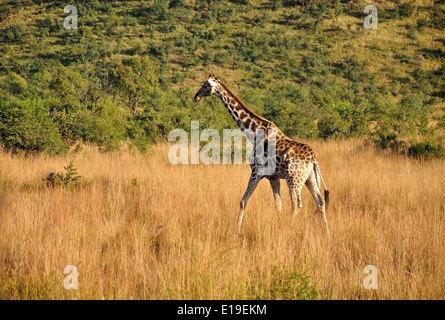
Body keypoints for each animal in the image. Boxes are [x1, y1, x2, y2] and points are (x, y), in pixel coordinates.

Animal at [193, 76, 328, 234]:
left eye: (205, 85)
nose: (196, 97)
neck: (254, 132)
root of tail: (313, 159)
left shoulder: (256, 172)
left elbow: (243, 201)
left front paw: (236, 230)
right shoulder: (273, 177)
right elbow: (278, 204)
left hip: (294, 178)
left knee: (297, 204)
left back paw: (288, 228)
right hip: (310, 178)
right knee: (320, 201)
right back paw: (327, 232)